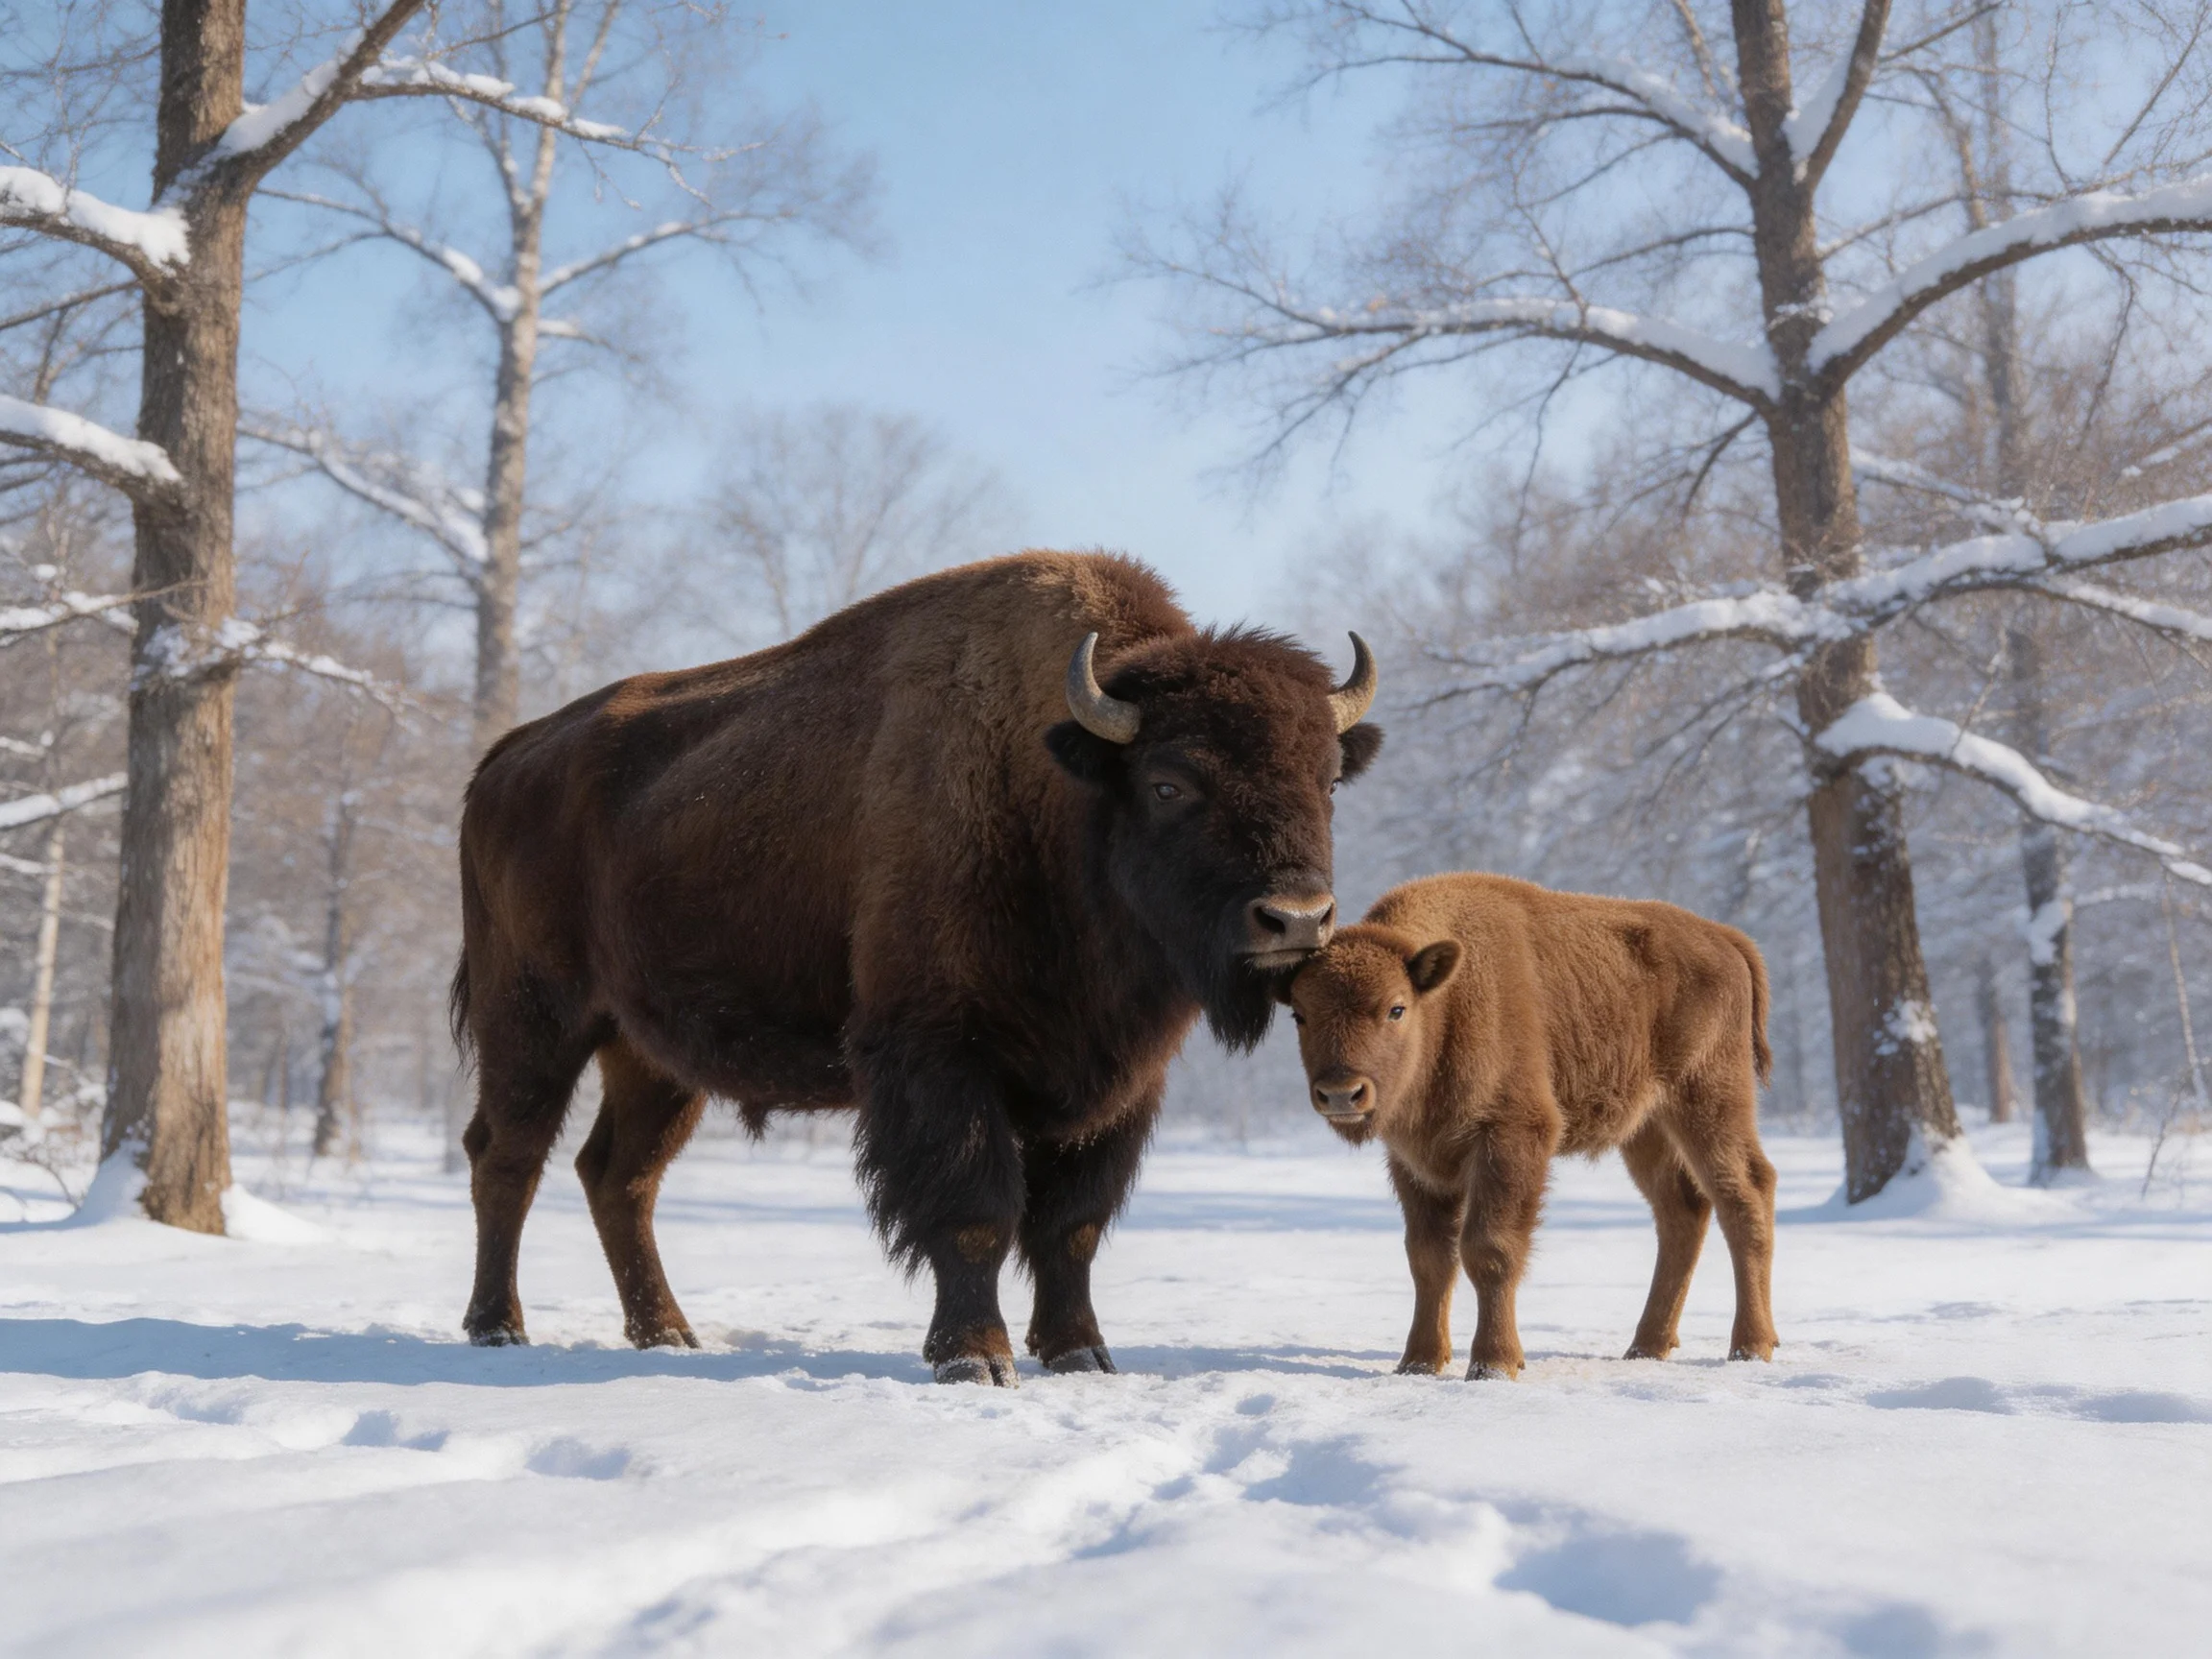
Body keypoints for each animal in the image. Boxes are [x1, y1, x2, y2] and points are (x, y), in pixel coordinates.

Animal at [451, 551, 1382, 1383]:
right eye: (1167, 783)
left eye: (1329, 782)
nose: (1297, 917)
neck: (1052, 791)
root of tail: (503, 760)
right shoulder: (938, 1055)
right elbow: (978, 1213)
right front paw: (975, 1359)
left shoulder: (1118, 1082)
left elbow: (1072, 1226)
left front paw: (1081, 1354)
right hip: (536, 1019)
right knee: (508, 1156)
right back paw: (499, 1329)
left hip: (654, 1057)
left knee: (619, 1175)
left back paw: (668, 1336)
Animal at [1278, 873, 1778, 1379]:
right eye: (1300, 1014)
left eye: (1396, 1008)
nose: (1341, 1093)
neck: (1444, 1003)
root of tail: (1725, 939)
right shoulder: (1414, 1161)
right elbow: (1428, 1258)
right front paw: (1418, 1363)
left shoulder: (1512, 1136)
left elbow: (1489, 1250)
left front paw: (1493, 1363)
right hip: (1647, 1129)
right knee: (1681, 1211)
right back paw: (1646, 1346)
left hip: (1709, 1101)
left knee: (1744, 1195)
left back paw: (1751, 1346)